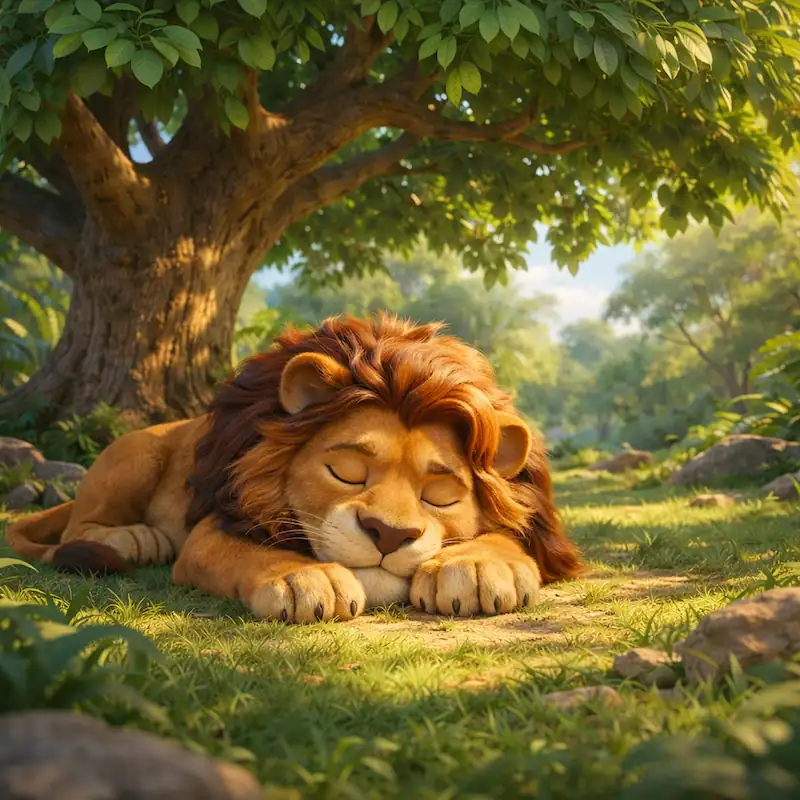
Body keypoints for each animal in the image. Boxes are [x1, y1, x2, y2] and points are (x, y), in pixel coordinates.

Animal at [7, 314, 582, 622]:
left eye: (440, 495)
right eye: (346, 471)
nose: (388, 534)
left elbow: (507, 534)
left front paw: (479, 566)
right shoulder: (214, 526)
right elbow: (252, 553)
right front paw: (305, 579)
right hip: (135, 451)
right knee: (79, 528)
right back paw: (135, 539)